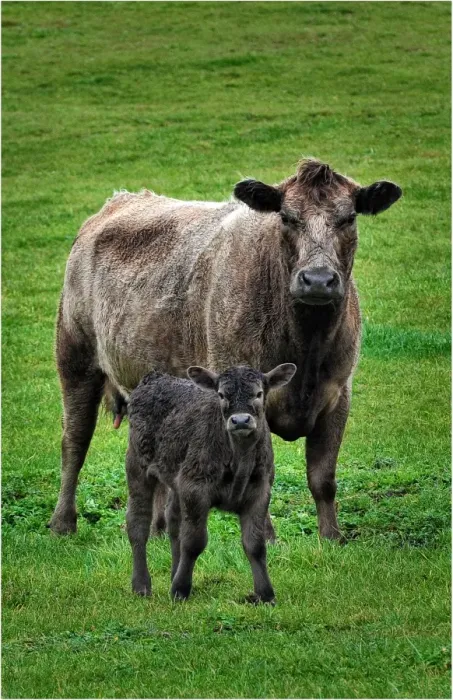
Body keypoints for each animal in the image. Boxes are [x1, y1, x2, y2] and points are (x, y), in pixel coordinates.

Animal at [49, 157, 402, 540]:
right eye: (286, 217)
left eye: (349, 218)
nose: (318, 280)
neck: (306, 346)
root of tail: (118, 201)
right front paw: (267, 538)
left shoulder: (338, 394)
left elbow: (323, 477)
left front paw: (332, 538)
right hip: (75, 356)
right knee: (74, 441)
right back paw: (63, 522)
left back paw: (159, 532)